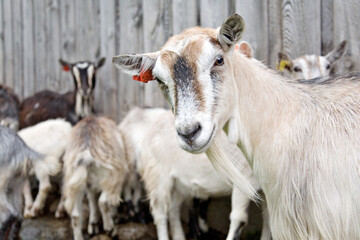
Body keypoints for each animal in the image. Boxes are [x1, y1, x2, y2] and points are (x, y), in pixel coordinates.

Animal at [117, 108, 268, 240]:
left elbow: (268, 219)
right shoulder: (245, 181)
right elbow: (239, 219)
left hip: (178, 182)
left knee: (173, 208)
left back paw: (179, 236)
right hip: (158, 176)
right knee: (160, 213)